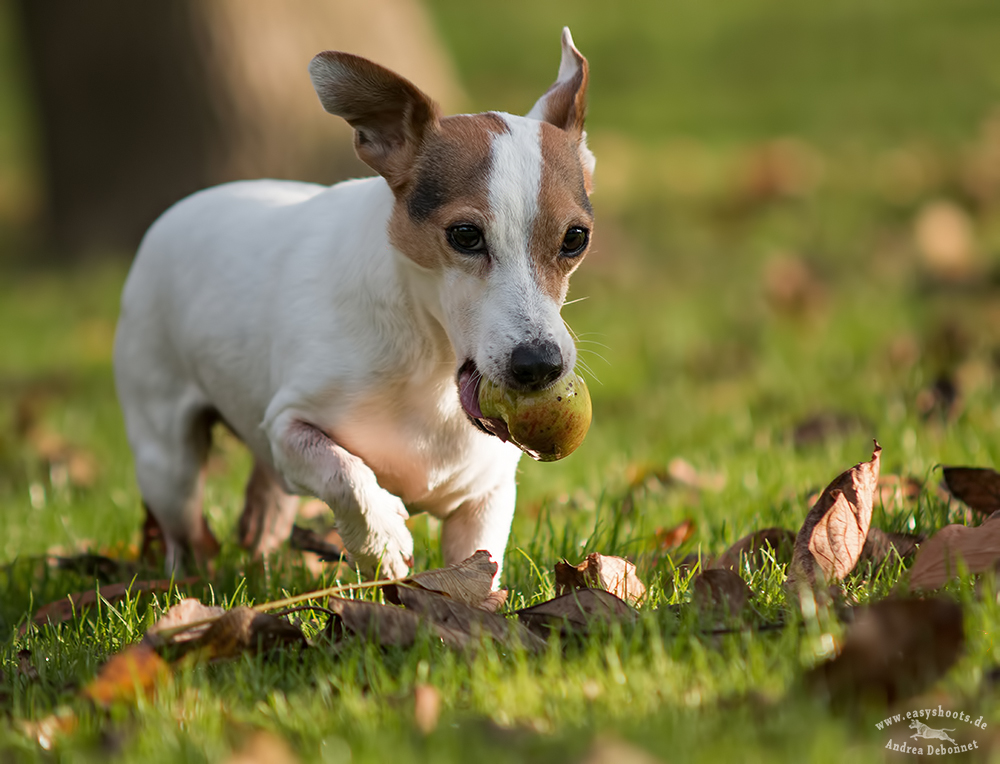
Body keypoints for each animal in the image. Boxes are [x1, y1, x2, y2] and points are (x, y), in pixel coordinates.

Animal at [113, 26, 592, 580]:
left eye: (575, 238)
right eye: (465, 235)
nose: (539, 365)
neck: (429, 362)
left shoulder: (485, 496)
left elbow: (478, 566)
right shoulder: (290, 424)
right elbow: (345, 471)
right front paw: (380, 536)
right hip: (167, 461)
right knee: (185, 528)